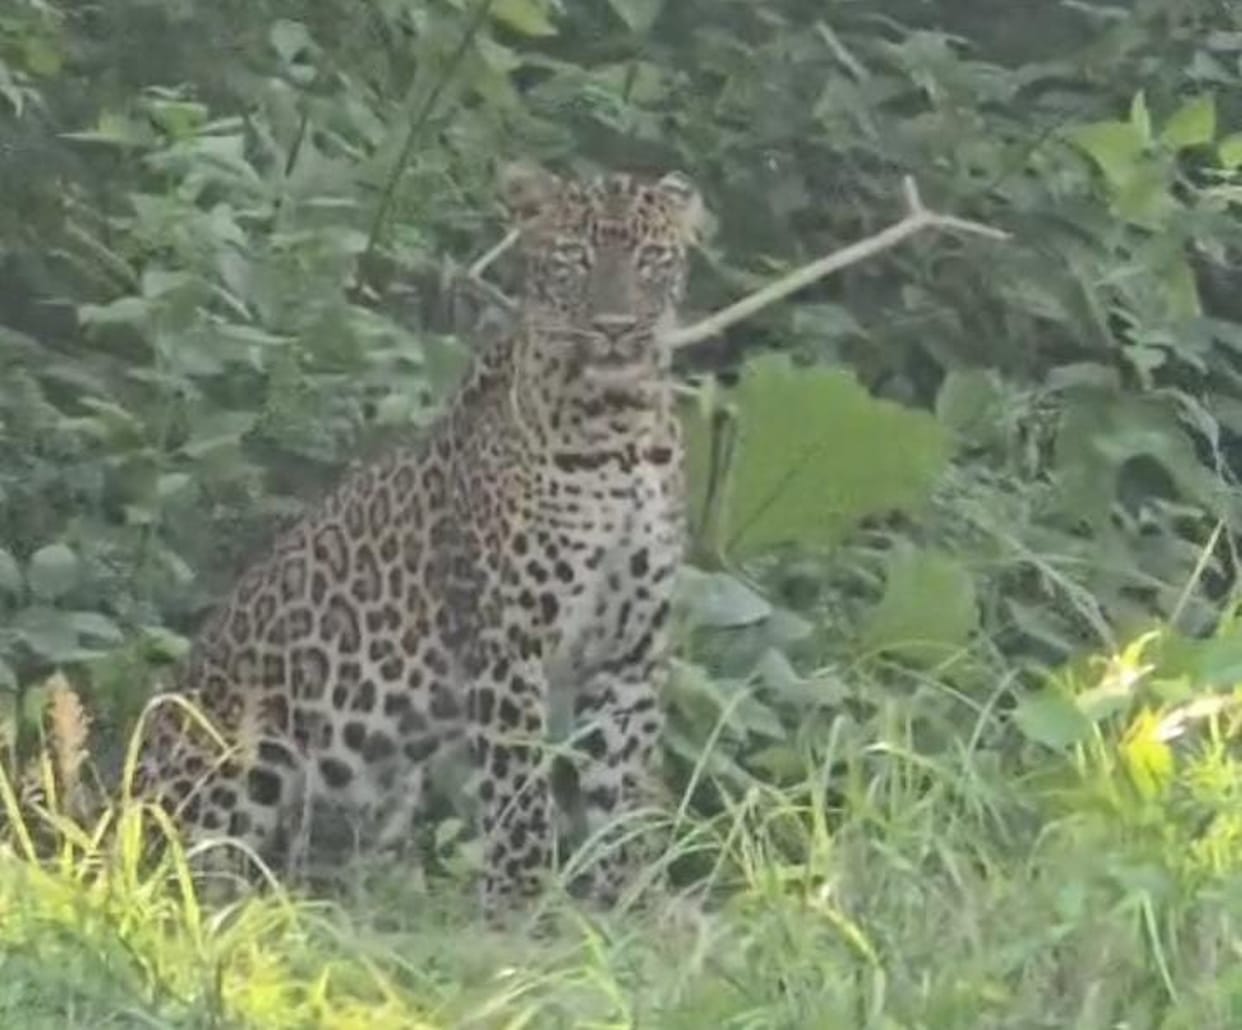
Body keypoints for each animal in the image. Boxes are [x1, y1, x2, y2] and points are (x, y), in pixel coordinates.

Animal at [131, 162, 705, 917]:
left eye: (651, 258)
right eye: (574, 259)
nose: (614, 329)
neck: (621, 429)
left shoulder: (630, 649)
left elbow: (625, 784)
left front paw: (634, 896)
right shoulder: (509, 640)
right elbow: (520, 789)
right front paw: (523, 903)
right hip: (240, 751)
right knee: (191, 867)